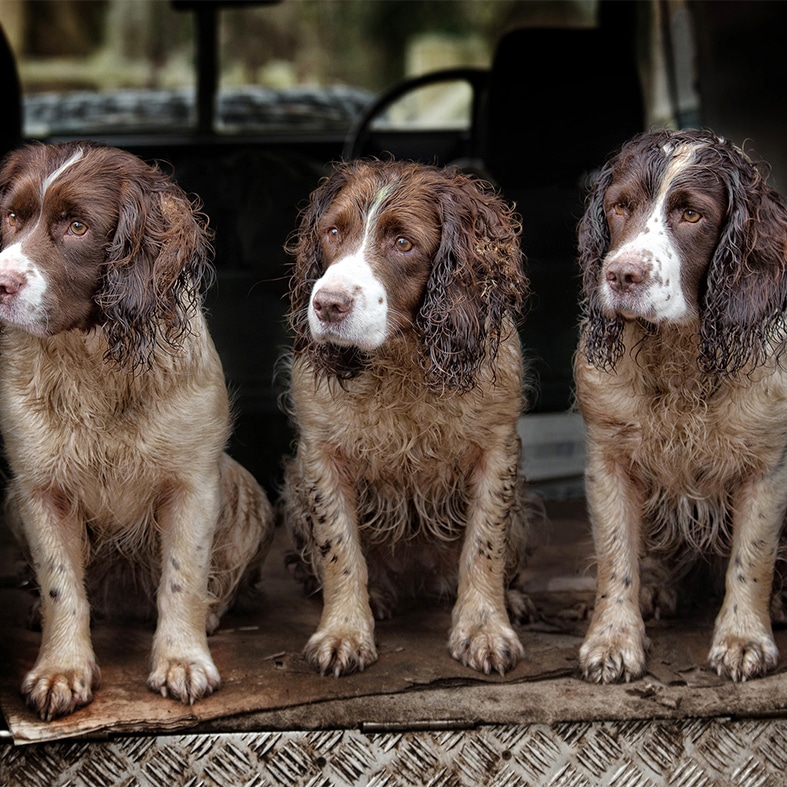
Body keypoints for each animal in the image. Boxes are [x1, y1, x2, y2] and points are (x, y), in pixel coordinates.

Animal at [0, 142, 274, 720]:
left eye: (77, 226)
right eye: (11, 216)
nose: (0, 284)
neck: (95, 366)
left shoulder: (193, 484)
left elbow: (182, 579)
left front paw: (183, 660)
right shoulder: (39, 489)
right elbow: (61, 586)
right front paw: (62, 670)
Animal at [280, 159, 532, 676]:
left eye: (403, 243)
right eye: (332, 232)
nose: (326, 305)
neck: (402, 361)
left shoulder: (497, 450)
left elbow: (485, 546)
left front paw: (484, 628)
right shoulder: (319, 456)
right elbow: (339, 549)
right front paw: (344, 631)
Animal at [576, 129, 787, 684]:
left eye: (691, 214)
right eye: (619, 206)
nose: (620, 275)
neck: (680, 354)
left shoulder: (767, 466)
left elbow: (752, 559)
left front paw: (743, 638)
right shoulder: (609, 459)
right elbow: (616, 558)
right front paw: (613, 639)